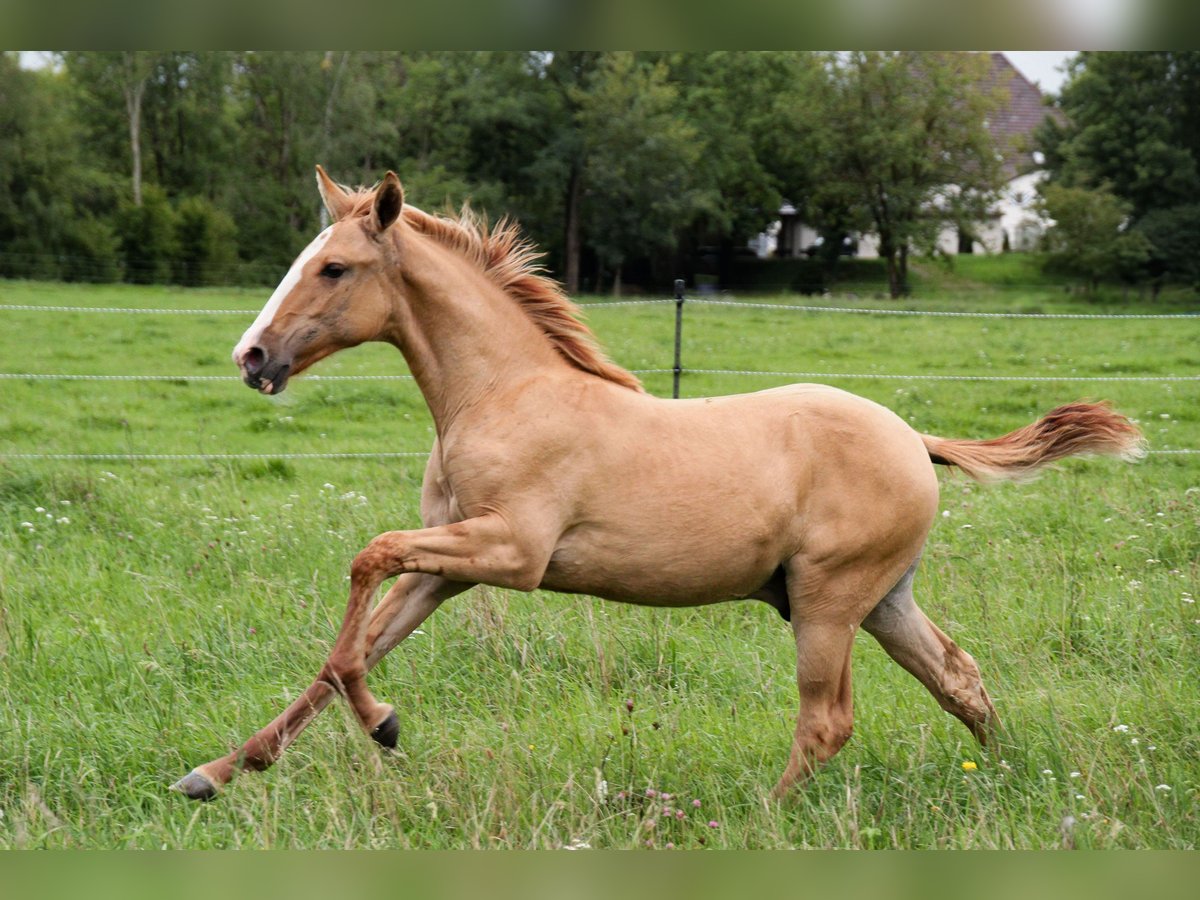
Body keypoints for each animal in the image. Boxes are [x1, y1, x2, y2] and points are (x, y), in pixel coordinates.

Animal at [172, 167, 1144, 801]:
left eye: (334, 267)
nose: (251, 357)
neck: (503, 393)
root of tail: (914, 438)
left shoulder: (510, 552)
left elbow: (364, 566)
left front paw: (382, 726)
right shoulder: (448, 569)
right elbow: (348, 654)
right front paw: (215, 773)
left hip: (829, 602)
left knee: (828, 721)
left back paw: (762, 818)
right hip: (881, 599)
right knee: (960, 678)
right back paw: (1015, 779)